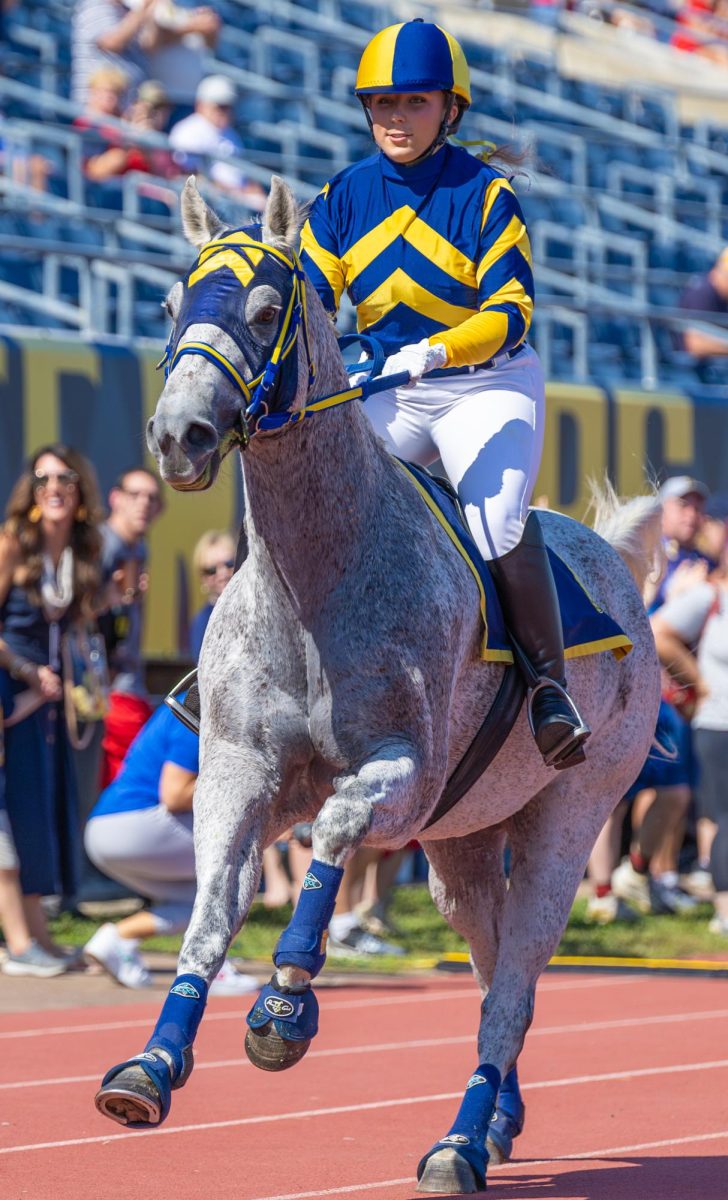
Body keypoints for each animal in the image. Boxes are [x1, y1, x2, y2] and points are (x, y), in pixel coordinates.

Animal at [94, 174, 662, 1195]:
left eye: (265, 309)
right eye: (165, 305)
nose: (178, 434)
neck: (315, 586)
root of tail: (611, 562)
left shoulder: (401, 777)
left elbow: (334, 831)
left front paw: (284, 1003)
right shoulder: (238, 774)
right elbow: (209, 912)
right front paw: (152, 1066)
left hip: (566, 822)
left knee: (513, 990)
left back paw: (458, 1145)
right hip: (463, 848)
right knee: (488, 965)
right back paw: (497, 1120)